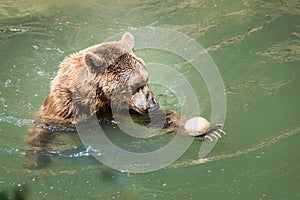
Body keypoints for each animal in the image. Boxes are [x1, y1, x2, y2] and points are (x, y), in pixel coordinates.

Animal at [24, 32, 223, 169]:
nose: (152, 104)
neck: (99, 100)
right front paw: (36, 159)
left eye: (146, 79)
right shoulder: (63, 110)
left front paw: (209, 131)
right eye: (134, 85)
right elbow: (42, 130)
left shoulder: (120, 110)